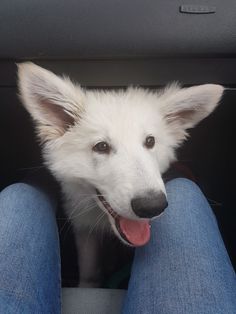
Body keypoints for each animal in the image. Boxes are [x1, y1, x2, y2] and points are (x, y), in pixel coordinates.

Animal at [18, 62, 223, 286]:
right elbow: (89, 273)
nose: (152, 206)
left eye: (150, 141)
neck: (104, 221)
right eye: (101, 147)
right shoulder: (84, 230)